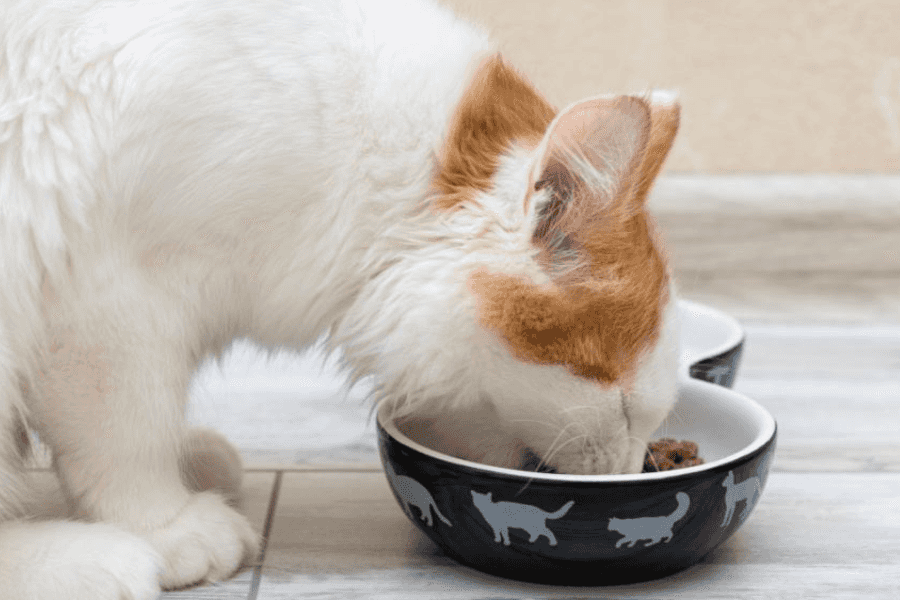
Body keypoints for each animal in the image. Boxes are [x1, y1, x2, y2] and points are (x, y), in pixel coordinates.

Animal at [0, 0, 676, 596]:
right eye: (622, 407)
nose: (630, 473)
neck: (353, 154)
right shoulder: (106, 303)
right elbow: (127, 435)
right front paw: (164, 524)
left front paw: (186, 458)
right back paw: (99, 560)